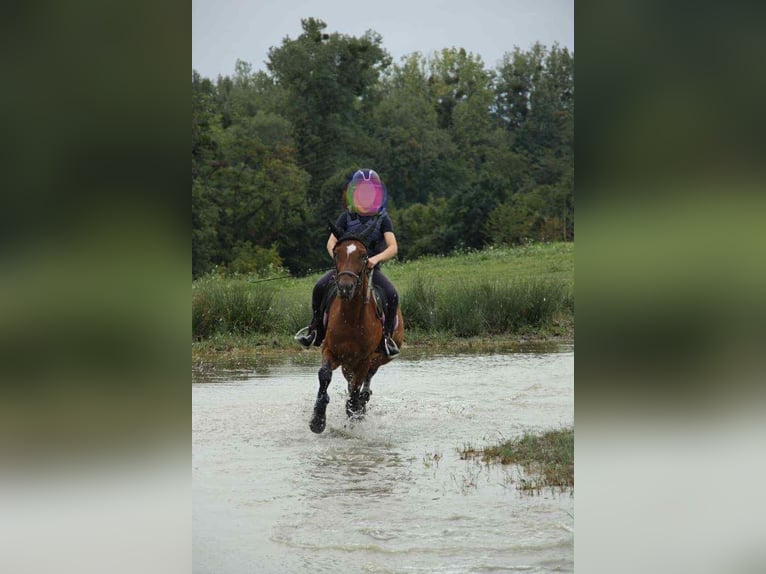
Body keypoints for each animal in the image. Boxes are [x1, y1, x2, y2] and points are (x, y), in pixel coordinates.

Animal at [309, 226, 404, 434]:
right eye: (337, 253)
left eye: (363, 255)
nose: (345, 287)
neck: (351, 319)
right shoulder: (330, 350)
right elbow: (324, 375)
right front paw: (318, 419)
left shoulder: (363, 359)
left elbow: (356, 386)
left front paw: (354, 413)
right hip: (347, 361)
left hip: (379, 357)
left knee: (368, 377)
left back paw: (361, 403)